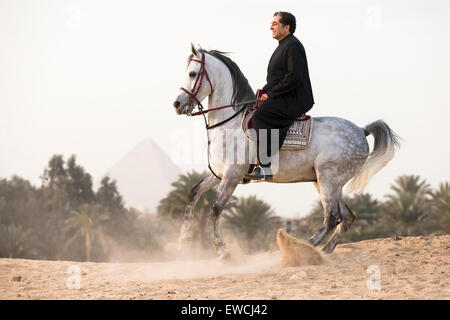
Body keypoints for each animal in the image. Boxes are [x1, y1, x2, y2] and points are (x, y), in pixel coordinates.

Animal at [173, 44, 400, 258]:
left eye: (192, 73)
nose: (177, 104)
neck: (230, 123)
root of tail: (361, 130)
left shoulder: (232, 174)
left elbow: (215, 209)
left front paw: (222, 251)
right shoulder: (219, 173)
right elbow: (193, 194)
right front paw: (183, 242)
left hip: (328, 179)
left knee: (332, 217)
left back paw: (304, 247)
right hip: (327, 183)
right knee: (346, 217)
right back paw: (324, 251)